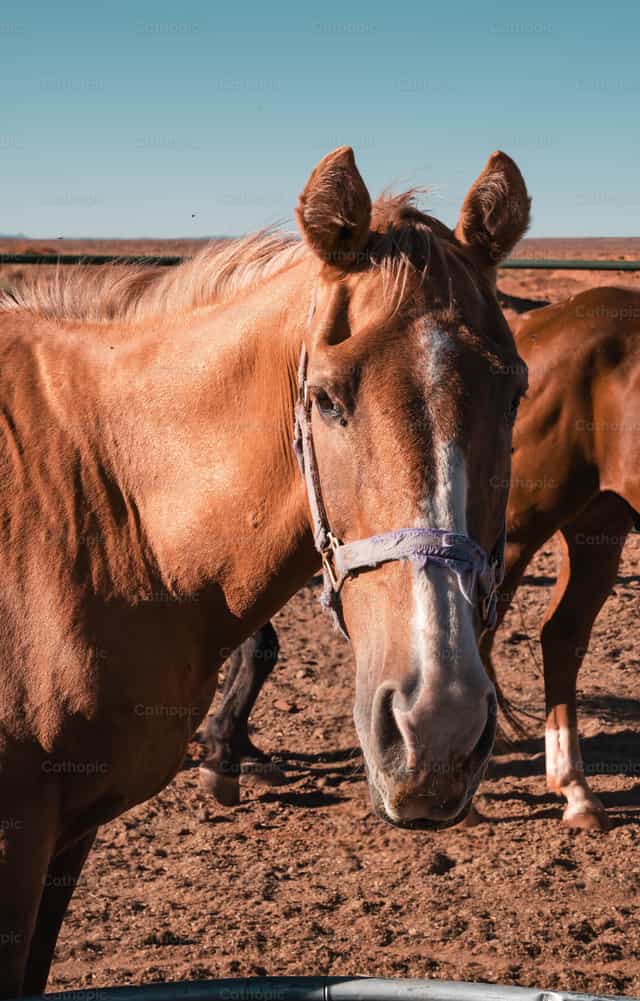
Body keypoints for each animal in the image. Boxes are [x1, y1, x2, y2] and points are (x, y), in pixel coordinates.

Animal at [0, 145, 529, 995]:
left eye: (514, 392)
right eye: (326, 399)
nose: (436, 724)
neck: (101, 493)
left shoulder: (63, 835)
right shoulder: (19, 834)